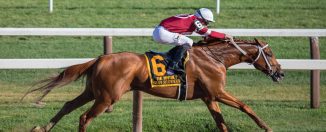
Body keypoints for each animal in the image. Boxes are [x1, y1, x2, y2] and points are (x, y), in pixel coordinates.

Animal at [26, 37, 284, 131]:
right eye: (270, 54)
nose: (280, 73)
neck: (215, 58)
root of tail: (100, 58)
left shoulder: (209, 97)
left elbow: (221, 123)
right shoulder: (218, 92)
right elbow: (245, 106)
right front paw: (266, 126)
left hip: (93, 92)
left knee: (68, 105)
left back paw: (42, 127)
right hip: (107, 97)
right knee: (84, 117)